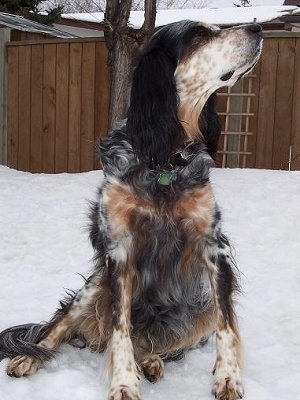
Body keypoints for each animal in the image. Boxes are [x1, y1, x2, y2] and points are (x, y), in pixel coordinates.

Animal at [0, 19, 262, 400]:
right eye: (198, 35)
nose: (258, 29)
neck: (165, 160)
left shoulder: (214, 247)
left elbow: (226, 325)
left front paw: (228, 377)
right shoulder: (119, 252)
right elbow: (120, 330)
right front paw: (124, 383)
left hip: (197, 310)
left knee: (159, 343)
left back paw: (152, 361)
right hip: (94, 286)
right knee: (57, 329)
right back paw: (28, 358)